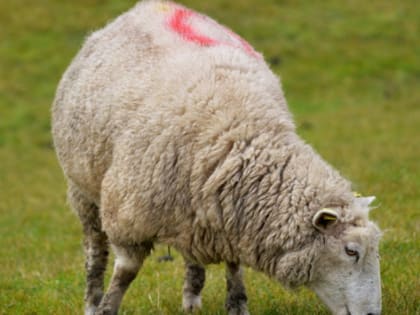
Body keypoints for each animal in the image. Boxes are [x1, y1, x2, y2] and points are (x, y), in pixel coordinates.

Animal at [50, 1, 382, 314]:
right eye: (351, 251)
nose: (372, 313)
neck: (242, 136)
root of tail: (151, 6)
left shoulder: (231, 215)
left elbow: (234, 266)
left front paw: (237, 305)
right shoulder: (127, 215)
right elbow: (125, 273)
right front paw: (106, 307)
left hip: (191, 209)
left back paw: (191, 299)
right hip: (82, 189)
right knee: (95, 249)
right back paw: (92, 300)